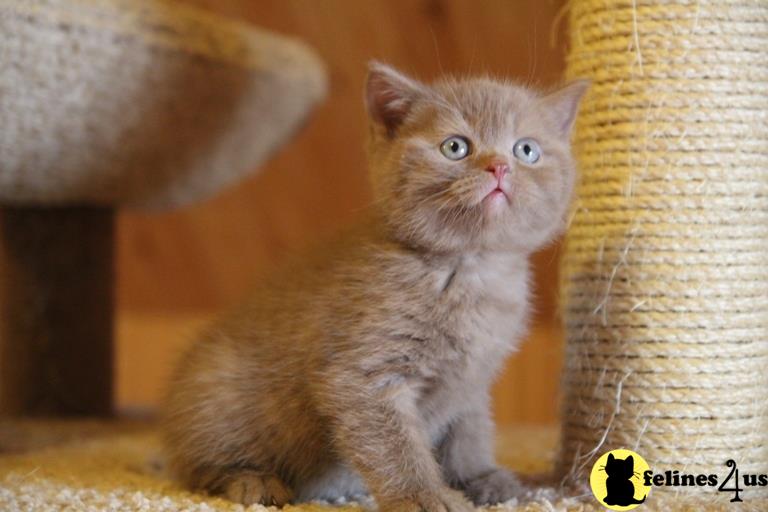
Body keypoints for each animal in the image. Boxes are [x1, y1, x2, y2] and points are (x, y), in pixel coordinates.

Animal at [160, 63, 584, 512]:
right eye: (455, 147)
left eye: (526, 150)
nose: (499, 167)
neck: (470, 270)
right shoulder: (364, 373)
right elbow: (396, 445)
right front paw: (424, 495)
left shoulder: (472, 379)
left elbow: (470, 429)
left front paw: (479, 477)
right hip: (217, 388)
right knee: (200, 467)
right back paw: (253, 481)